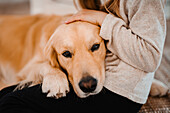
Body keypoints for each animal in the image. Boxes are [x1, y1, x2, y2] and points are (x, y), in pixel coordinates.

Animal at [0, 14, 168, 98]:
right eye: (66, 54)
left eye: (95, 46)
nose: (88, 85)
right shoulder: (24, 69)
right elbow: (46, 64)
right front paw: (56, 81)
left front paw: (156, 85)